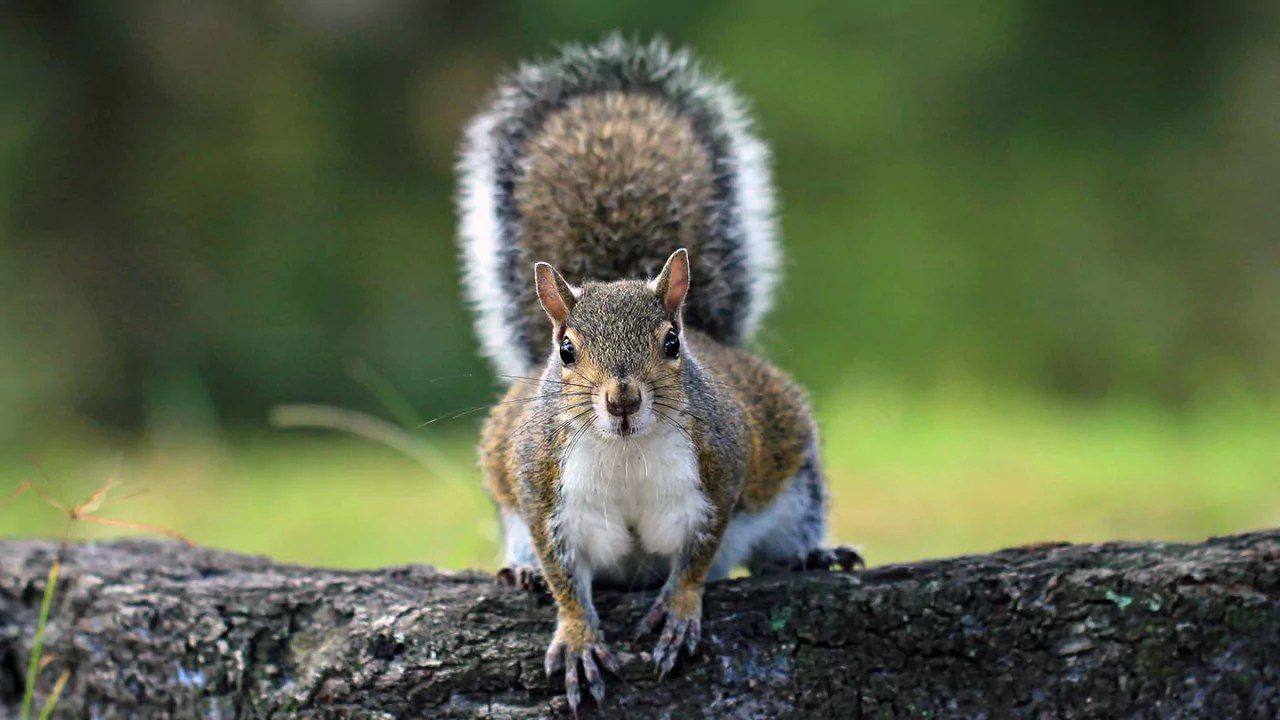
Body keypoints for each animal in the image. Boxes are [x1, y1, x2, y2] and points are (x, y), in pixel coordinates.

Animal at [456, 35, 861, 711]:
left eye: (672, 343)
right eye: (565, 351)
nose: (622, 399)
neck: (625, 452)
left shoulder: (718, 474)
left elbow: (697, 559)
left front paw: (678, 610)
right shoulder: (543, 494)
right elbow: (564, 576)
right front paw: (576, 636)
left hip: (794, 488)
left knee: (779, 539)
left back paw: (808, 558)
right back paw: (520, 571)